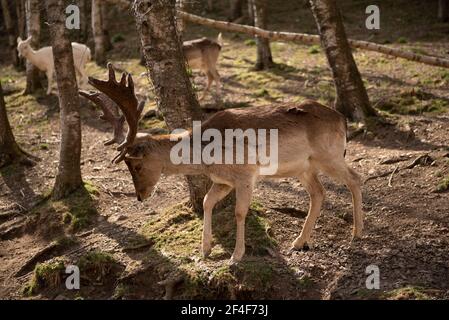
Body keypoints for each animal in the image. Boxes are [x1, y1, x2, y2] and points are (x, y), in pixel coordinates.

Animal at [79, 63, 362, 264]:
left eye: (136, 165)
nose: (140, 196)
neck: (208, 157)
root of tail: (342, 119)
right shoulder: (223, 181)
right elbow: (206, 202)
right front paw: (204, 249)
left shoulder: (246, 174)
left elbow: (239, 211)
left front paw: (235, 256)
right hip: (304, 167)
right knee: (319, 192)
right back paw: (299, 241)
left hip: (330, 155)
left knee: (354, 178)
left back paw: (357, 233)